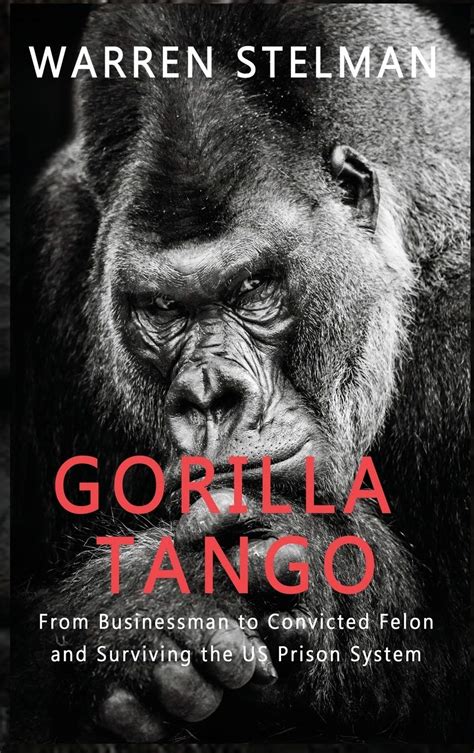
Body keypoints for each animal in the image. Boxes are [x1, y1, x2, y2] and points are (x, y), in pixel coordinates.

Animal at [12, 3, 469, 744]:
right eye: (162, 308)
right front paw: (145, 612)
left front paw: (326, 565)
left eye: (254, 288)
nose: (210, 394)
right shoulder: (47, 245)